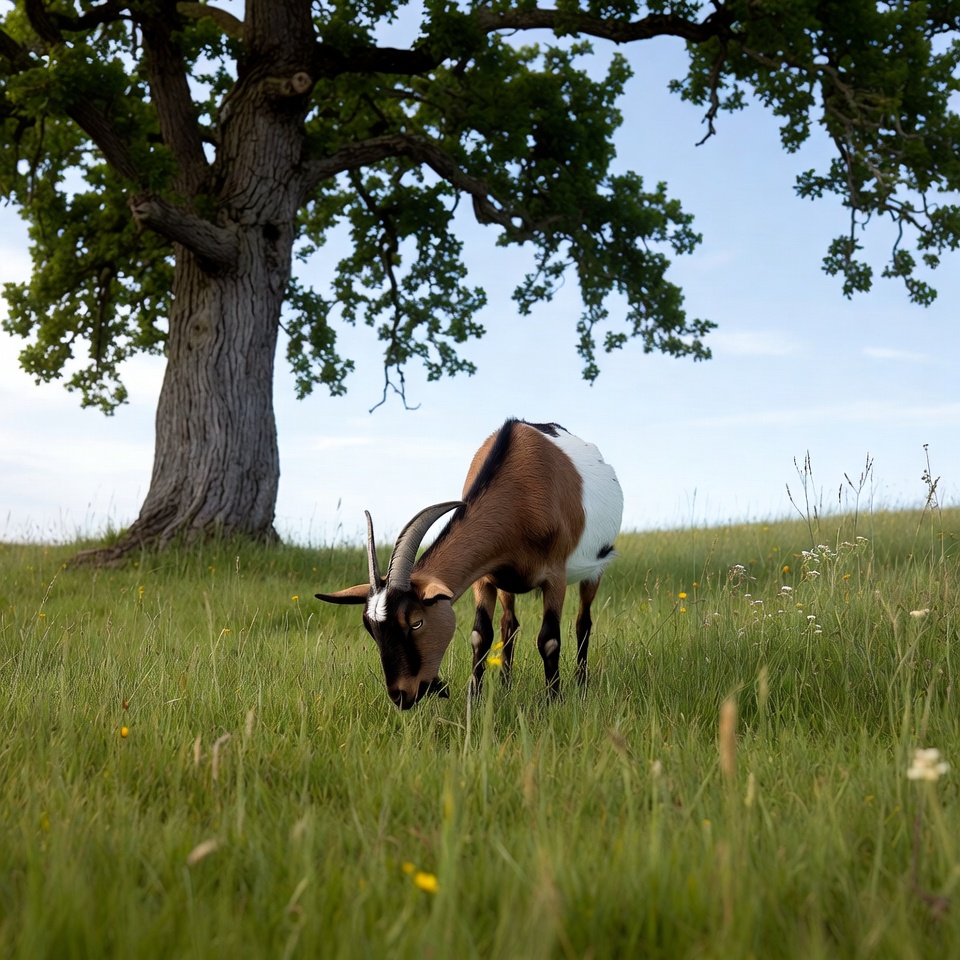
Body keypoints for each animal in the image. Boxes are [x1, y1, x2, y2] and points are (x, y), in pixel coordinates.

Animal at [315, 418, 623, 709]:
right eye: (371, 629)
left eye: (416, 622)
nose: (401, 695)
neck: (522, 491)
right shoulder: (484, 577)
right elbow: (480, 635)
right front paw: (474, 698)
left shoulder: (554, 577)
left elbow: (549, 640)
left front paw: (553, 700)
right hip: (505, 582)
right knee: (509, 624)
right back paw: (505, 685)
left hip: (595, 570)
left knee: (583, 622)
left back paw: (581, 683)